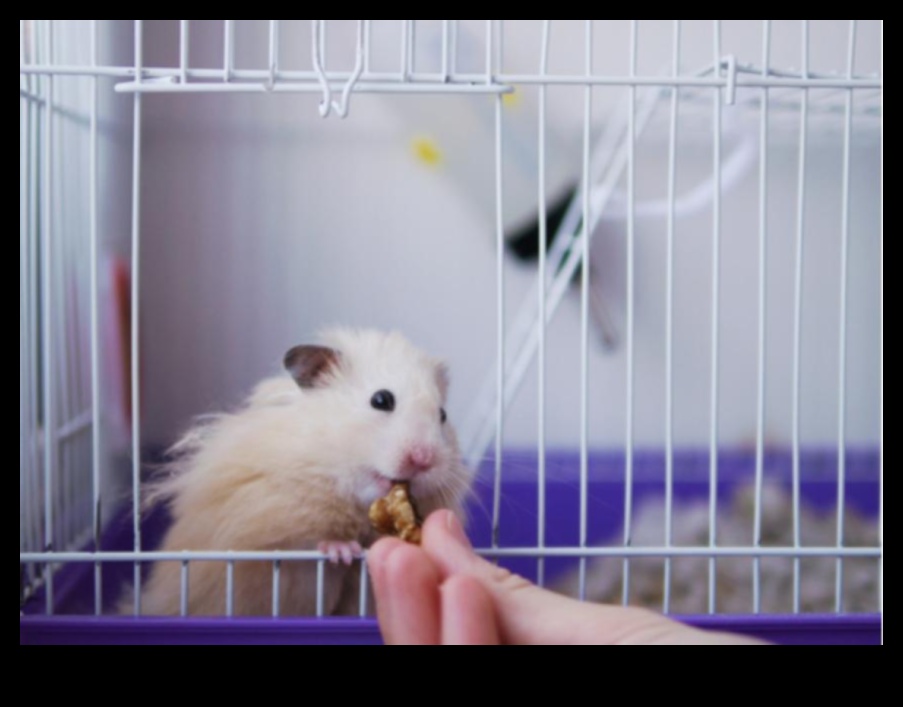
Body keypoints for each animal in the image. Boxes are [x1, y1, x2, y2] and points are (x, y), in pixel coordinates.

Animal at [130, 329, 475, 618]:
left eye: (442, 415)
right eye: (381, 400)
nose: (424, 460)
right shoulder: (265, 528)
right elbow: (304, 542)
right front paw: (342, 551)